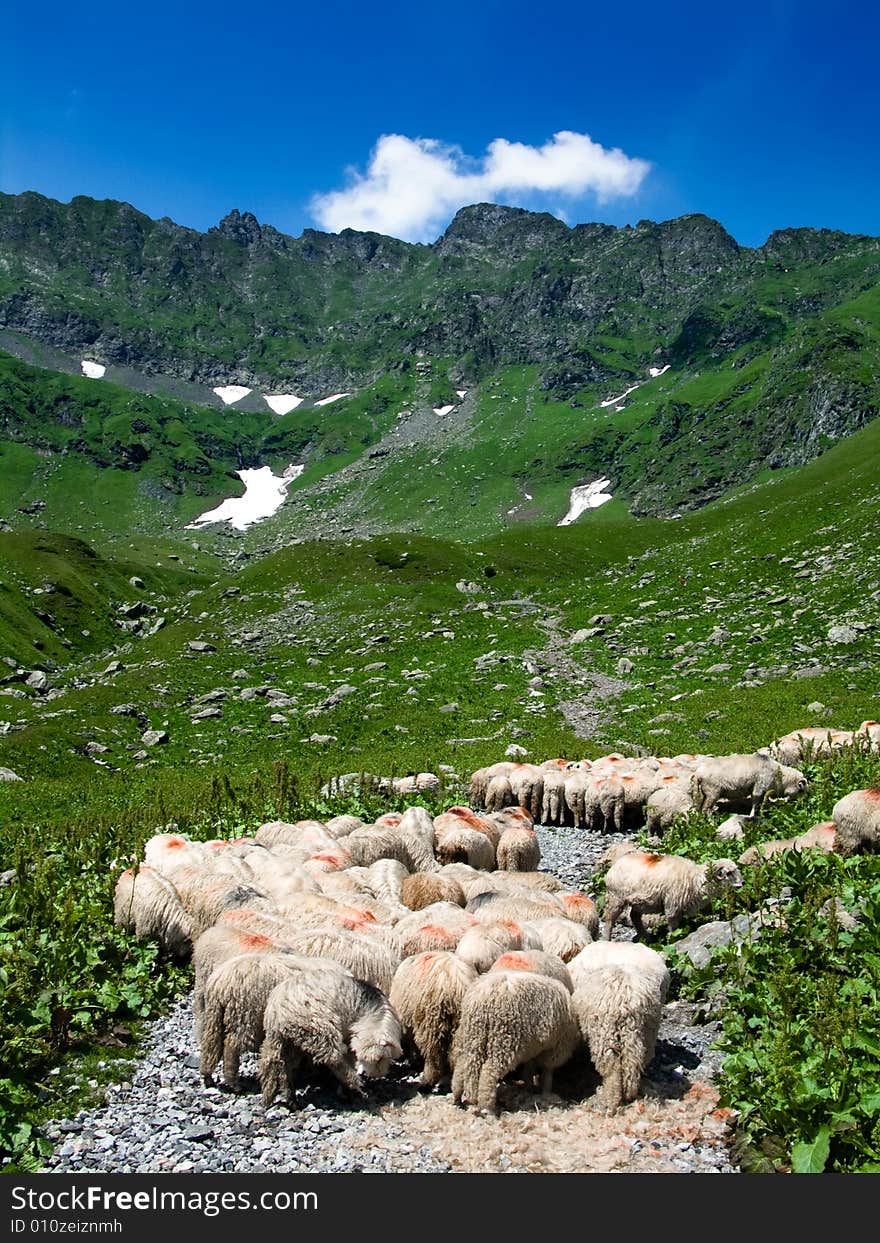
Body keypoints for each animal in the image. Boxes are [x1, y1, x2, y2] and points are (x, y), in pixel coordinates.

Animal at [257, 964, 402, 1103]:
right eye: (379, 1058)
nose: (369, 1075)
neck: (373, 1017)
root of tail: (278, 1010)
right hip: (320, 1029)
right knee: (333, 1059)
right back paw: (353, 1084)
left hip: (284, 1038)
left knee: (275, 1063)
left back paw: (283, 1097)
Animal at [387, 954, 477, 1083]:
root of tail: (456, 983)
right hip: (460, 1023)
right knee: (455, 1052)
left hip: (430, 1021)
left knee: (433, 1053)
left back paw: (427, 1079)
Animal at [449, 969, 581, 1118]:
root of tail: (484, 995)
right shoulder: (556, 1047)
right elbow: (547, 1071)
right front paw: (546, 1092)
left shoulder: (533, 1047)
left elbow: (529, 1068)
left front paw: (528, 1089)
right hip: (504, 1040)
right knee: (489, 1072)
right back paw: (488, 1109)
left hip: (472, 1036)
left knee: (461, 1066)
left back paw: (457, 1098)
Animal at [599, 850, 740, 934]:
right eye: (729, 873)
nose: (742, 883)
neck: (696, 879)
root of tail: (615, 865)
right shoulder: (673, 906)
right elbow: (673, 927)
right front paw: (672, 939)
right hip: (615, 898)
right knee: (609, 920)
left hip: (639, 902)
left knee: (634, 916)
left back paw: (645, 936)